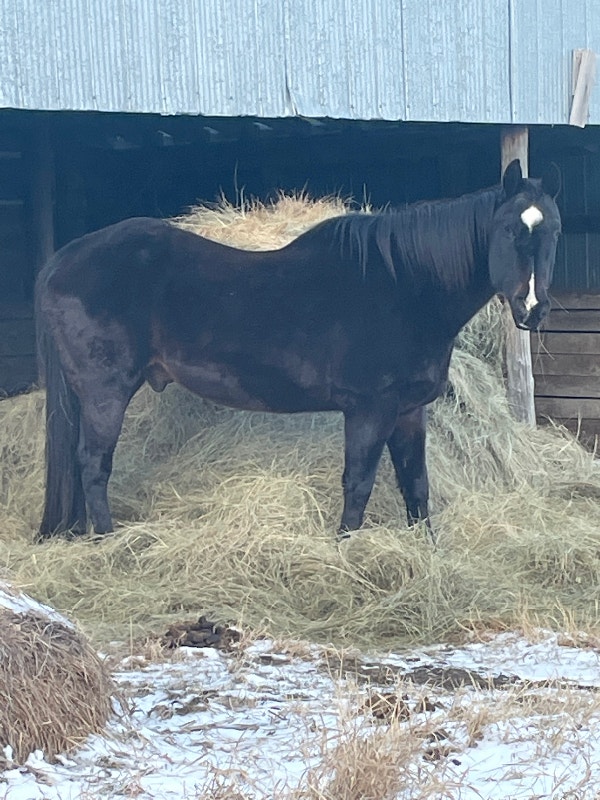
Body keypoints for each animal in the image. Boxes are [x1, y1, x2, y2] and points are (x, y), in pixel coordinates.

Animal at [35, 159, 561, 540]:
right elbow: (358, 483)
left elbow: (416, 485)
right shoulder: (369, 409)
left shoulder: (409, 410)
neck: (404, 284)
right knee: (93, 465)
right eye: (510, 231)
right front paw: (346, 550)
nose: (533, 309)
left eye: (553, 232)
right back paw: (107, 542)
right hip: (106, 393)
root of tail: (61, 261)